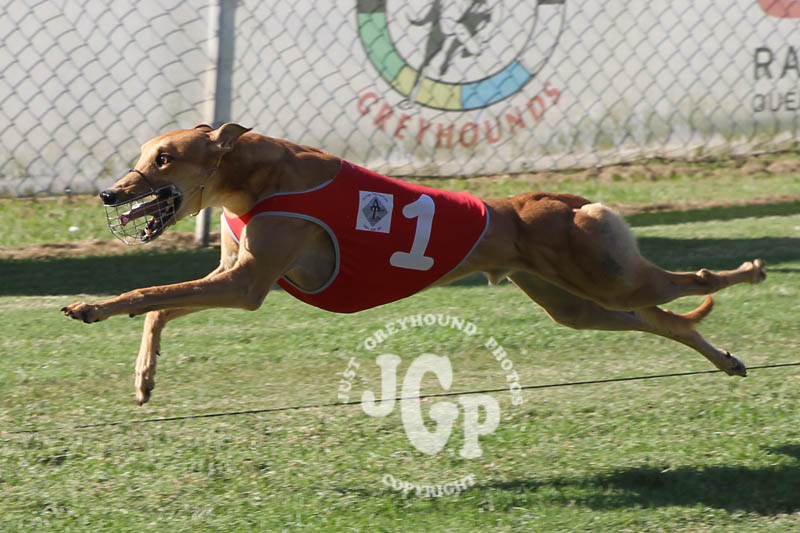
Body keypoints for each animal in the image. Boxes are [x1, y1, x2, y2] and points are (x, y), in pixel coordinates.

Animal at [62, 123, 767, 405]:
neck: (253, 178)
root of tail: (558, 200)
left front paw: (89, 305)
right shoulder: (229, 279)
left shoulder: (245, 285)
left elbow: (145, 293)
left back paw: (752, 272)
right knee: (665, 318)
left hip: (604, 278)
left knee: (694, 281)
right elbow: (158, 308)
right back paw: (727, 360)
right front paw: (144, 378)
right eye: (141, 156)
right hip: (580, 303)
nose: (108, 195)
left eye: (162, 159)